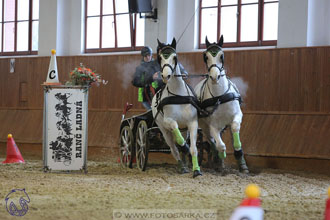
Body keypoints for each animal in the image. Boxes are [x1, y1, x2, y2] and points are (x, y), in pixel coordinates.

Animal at [151, 38, 202, 178]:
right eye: (160, 58)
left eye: (174, 57)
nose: (166, 76)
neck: (178, 95)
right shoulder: (169, 121)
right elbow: (177, 135)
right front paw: (184, 147)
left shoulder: (192, 123)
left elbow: (194, 149)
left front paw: (196, 170)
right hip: (164, 130)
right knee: (174, 149)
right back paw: (182, 166)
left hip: (185, 129)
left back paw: (185, 164)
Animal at [193, 35, 248, 174]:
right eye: (206, 56)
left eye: (221, 55)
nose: (214, 77)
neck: (220, 96)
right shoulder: (213, 125)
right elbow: (220, 145)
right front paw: (220, 159)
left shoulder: (237, 115)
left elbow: (235, 129)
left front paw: (241, 159)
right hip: (205, 127)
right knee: (211, 141)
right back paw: (216, 159)